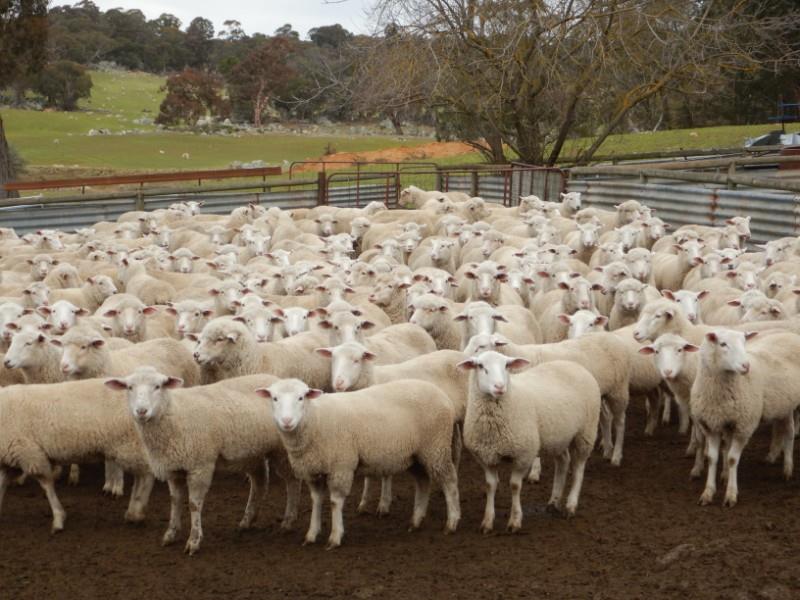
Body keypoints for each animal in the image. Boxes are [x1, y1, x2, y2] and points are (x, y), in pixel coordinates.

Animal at [105, 368, 300, 555]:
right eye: (129, 387)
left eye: (158, 386)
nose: (141, 411)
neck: (174, 414)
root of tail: (276, 379)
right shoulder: (173, 467)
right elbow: (175, 500)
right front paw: (171, 534)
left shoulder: (200, 465)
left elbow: (193, 504)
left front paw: (194, 541)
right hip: (252, 452)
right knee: (259, 482)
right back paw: (247, 520)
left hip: (281, 450)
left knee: (292, 482)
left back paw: (288, 521)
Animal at [257, 378, 460, 548]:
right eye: (274, 398)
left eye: (301, 398)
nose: (287, 421)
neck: (315, 419)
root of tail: (442, 394)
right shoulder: (313, 471)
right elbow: (316, 501)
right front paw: (311, 534)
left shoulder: (341, 465)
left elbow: (335, 502)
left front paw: (335, 537)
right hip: (416, 455)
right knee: (423, 482)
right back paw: (416, 521)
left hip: (436, 446)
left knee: (449, 482)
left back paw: (451, 523)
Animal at [457, 352, 600, 531]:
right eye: (481, 366)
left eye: (506, 365)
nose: (499, 387)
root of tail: (575, 365)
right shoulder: (486, 457)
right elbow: (490, 485)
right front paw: (487, 522)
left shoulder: (523, 454)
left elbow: (514, 485)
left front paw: (515, 521)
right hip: (559, 436)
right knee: (563, 462)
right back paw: (554, 502)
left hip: (586, 433)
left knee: (578, 470)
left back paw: (570, 506)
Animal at [692, 330, 800, 507]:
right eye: (723, 344)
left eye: (744, 342)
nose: (746, 366)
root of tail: (789, 334)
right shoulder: (712, 425)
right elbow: (712, 458)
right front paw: (708, 492)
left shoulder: (744, 426)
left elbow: (732, 459)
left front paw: (730, 494)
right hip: (782, 404)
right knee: (781, 430)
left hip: (791, 404)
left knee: (789, 433)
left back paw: (787, 470)